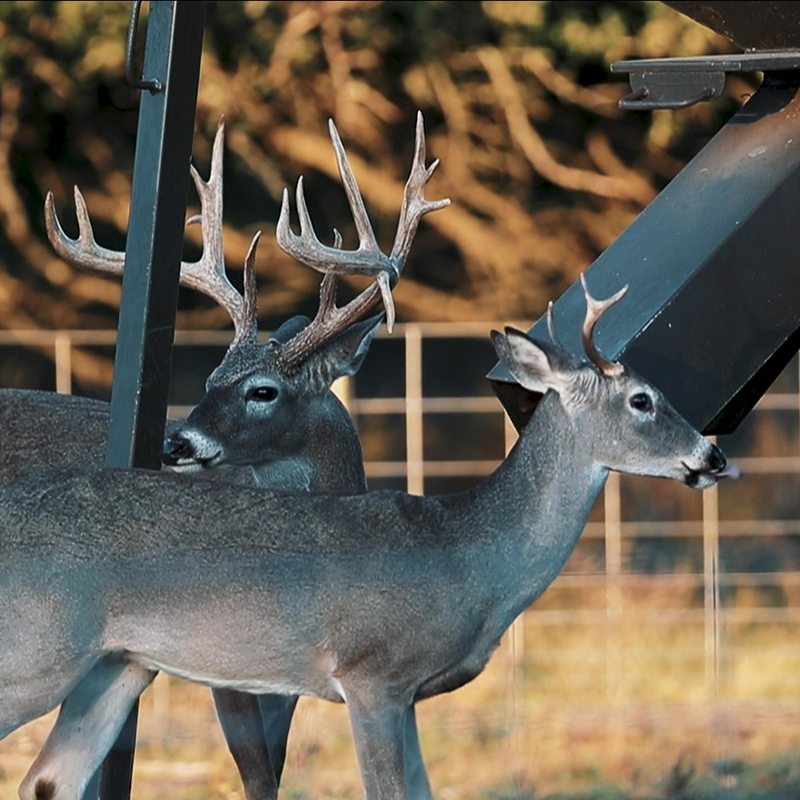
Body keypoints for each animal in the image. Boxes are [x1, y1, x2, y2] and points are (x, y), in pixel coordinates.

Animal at [0, 270, 728, 800]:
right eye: (642, 400)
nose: (713, 455)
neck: (468, 552)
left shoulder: (408, 695)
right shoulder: (371, 674)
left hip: (117, 667)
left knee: (46, 782)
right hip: (36, 650)